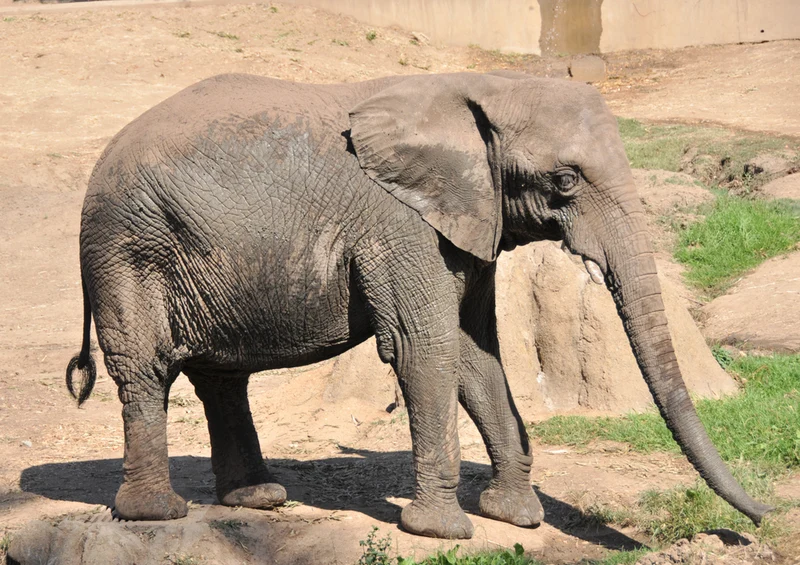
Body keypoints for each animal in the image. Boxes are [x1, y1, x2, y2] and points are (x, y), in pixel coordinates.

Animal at [66, 72, 771, 540]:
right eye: (565, 181)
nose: (762, 519)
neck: (471, 90)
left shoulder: (470, 221)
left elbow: (475, 353)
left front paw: (515, 517)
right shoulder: (400, 224)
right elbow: (422, 346)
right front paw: (441, 531)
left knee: (221, 376)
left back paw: (257, 500)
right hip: (128, 246)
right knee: (146, 368)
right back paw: (155, 513)